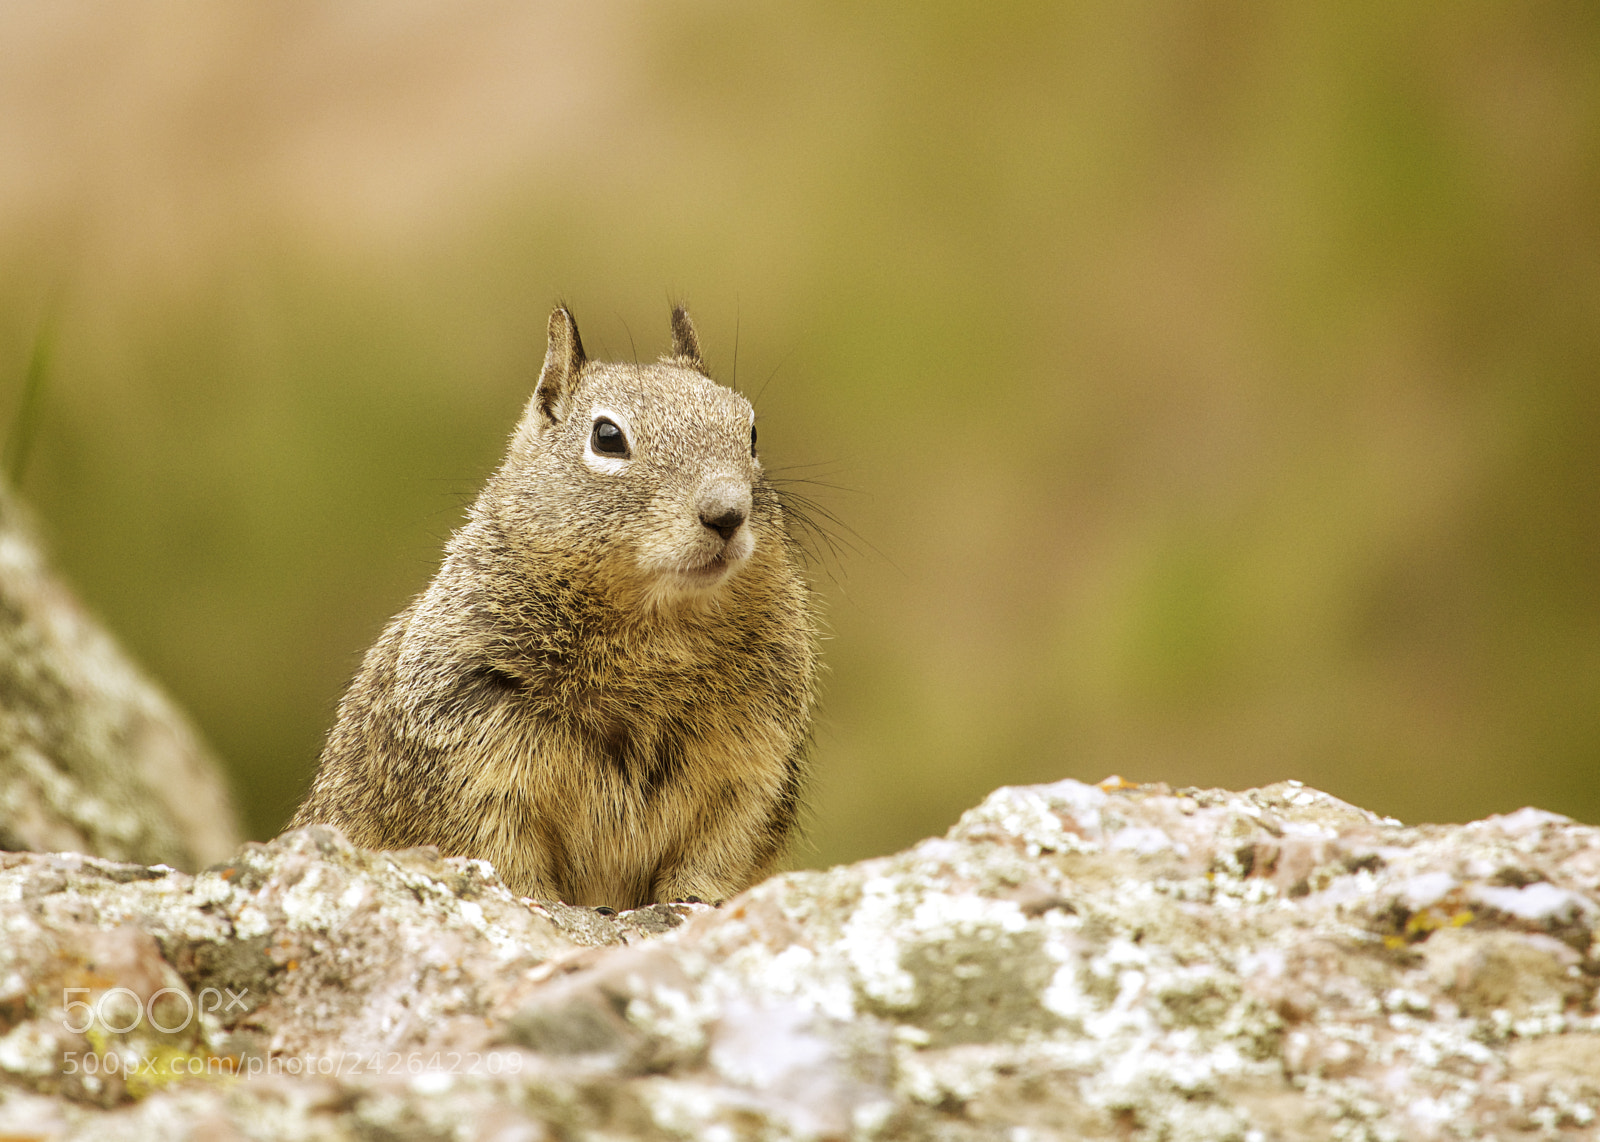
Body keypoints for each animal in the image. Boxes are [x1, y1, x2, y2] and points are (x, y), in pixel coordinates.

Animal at [288, 305, 819, 910]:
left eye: (750, 431)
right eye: (607, 437)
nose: (727, 513)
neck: (657, 628)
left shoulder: (755, 764)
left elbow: (721, 850)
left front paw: (695, 903)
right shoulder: (473, 753)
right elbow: (499, 849)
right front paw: (536, 903)